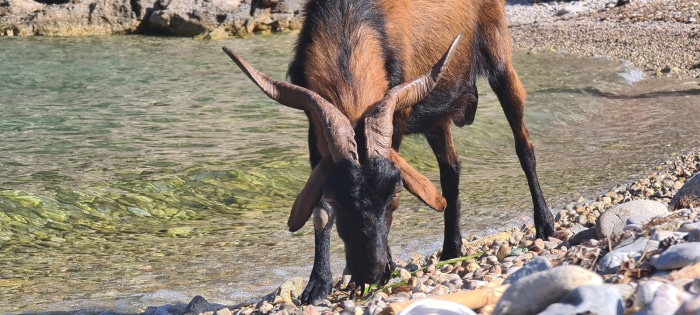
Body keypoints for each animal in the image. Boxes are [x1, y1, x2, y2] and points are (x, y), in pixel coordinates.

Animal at [221, 0, 556, 304]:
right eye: (336, 197)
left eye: (395, 194)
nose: (370, 271)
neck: (349, 20)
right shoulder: (313, 126)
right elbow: (320, 211)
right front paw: (318, 283)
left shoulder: (397, 116)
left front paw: (385, 269)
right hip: (438, 117)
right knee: (451, 168)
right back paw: (451, 249)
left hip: (499, 58)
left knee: (523, 145)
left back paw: (544, 223)